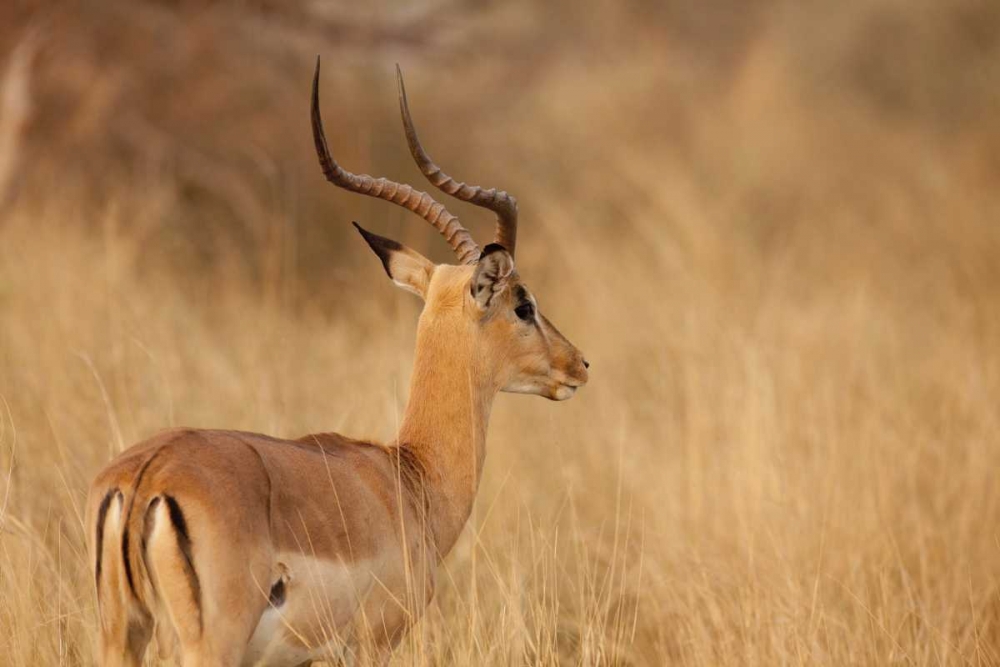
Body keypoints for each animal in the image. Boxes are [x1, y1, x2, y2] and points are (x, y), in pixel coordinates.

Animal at [85, 58, 589, 667]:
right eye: (523, 304)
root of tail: (145, 475)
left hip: (120, 634)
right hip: (210, 642)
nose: (579, 364)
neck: (407, 478)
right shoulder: (371, 644)